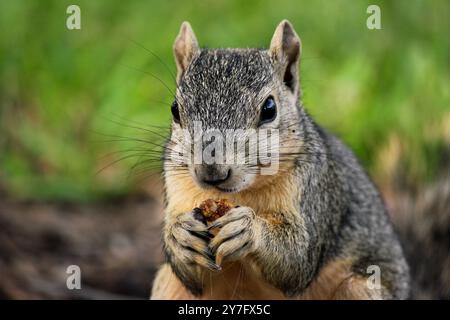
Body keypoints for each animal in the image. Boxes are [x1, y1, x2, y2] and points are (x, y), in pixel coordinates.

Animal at [151, 20, 412, 300]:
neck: (241, 194)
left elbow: (297, 260)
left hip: (362, 288)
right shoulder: (177, 185)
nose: (211, 171)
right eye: (175, 110)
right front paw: (179, 235)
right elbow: (192, 280)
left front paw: (249, 228)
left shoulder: (315, 190)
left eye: (269, 108)